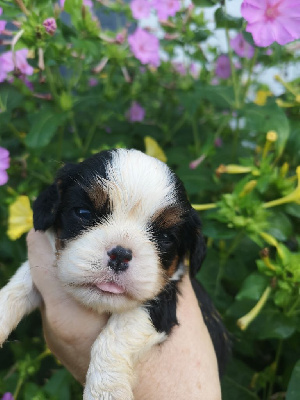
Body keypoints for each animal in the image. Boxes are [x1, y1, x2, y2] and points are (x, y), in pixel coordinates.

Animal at [0, 148, 229, 398]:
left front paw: (106, 390)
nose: (120, 255)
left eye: (166, 238)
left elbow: (114, 337)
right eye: (83, 212)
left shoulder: (162, 303)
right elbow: (17, 286)